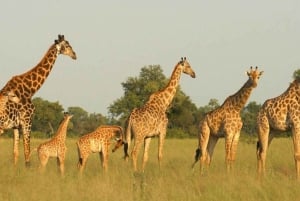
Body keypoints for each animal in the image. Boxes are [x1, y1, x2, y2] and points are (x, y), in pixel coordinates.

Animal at [0, 35, 76, 166]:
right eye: (67, 45)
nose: (75, 55)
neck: (31, 89)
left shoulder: (16, 126)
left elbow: (15, 154)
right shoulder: (27, 120)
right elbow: (27, 154)